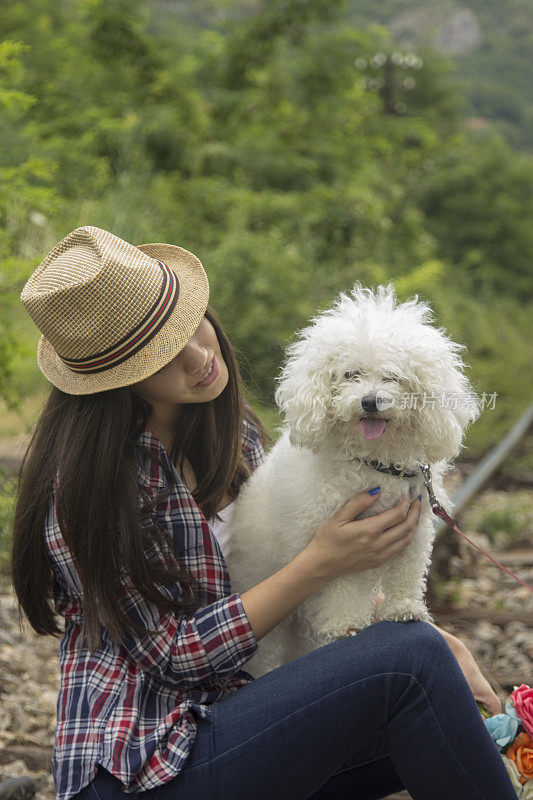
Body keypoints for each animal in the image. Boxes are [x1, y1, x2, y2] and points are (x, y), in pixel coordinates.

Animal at [224, 284, 478, 680]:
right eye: (350, 375)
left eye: (392, 376)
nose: (370, 402)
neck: (374, 465)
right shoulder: (335, 543)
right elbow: (342, 587)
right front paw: (346, 625)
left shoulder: (415, 531)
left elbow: (407, 574)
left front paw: (404, 609)